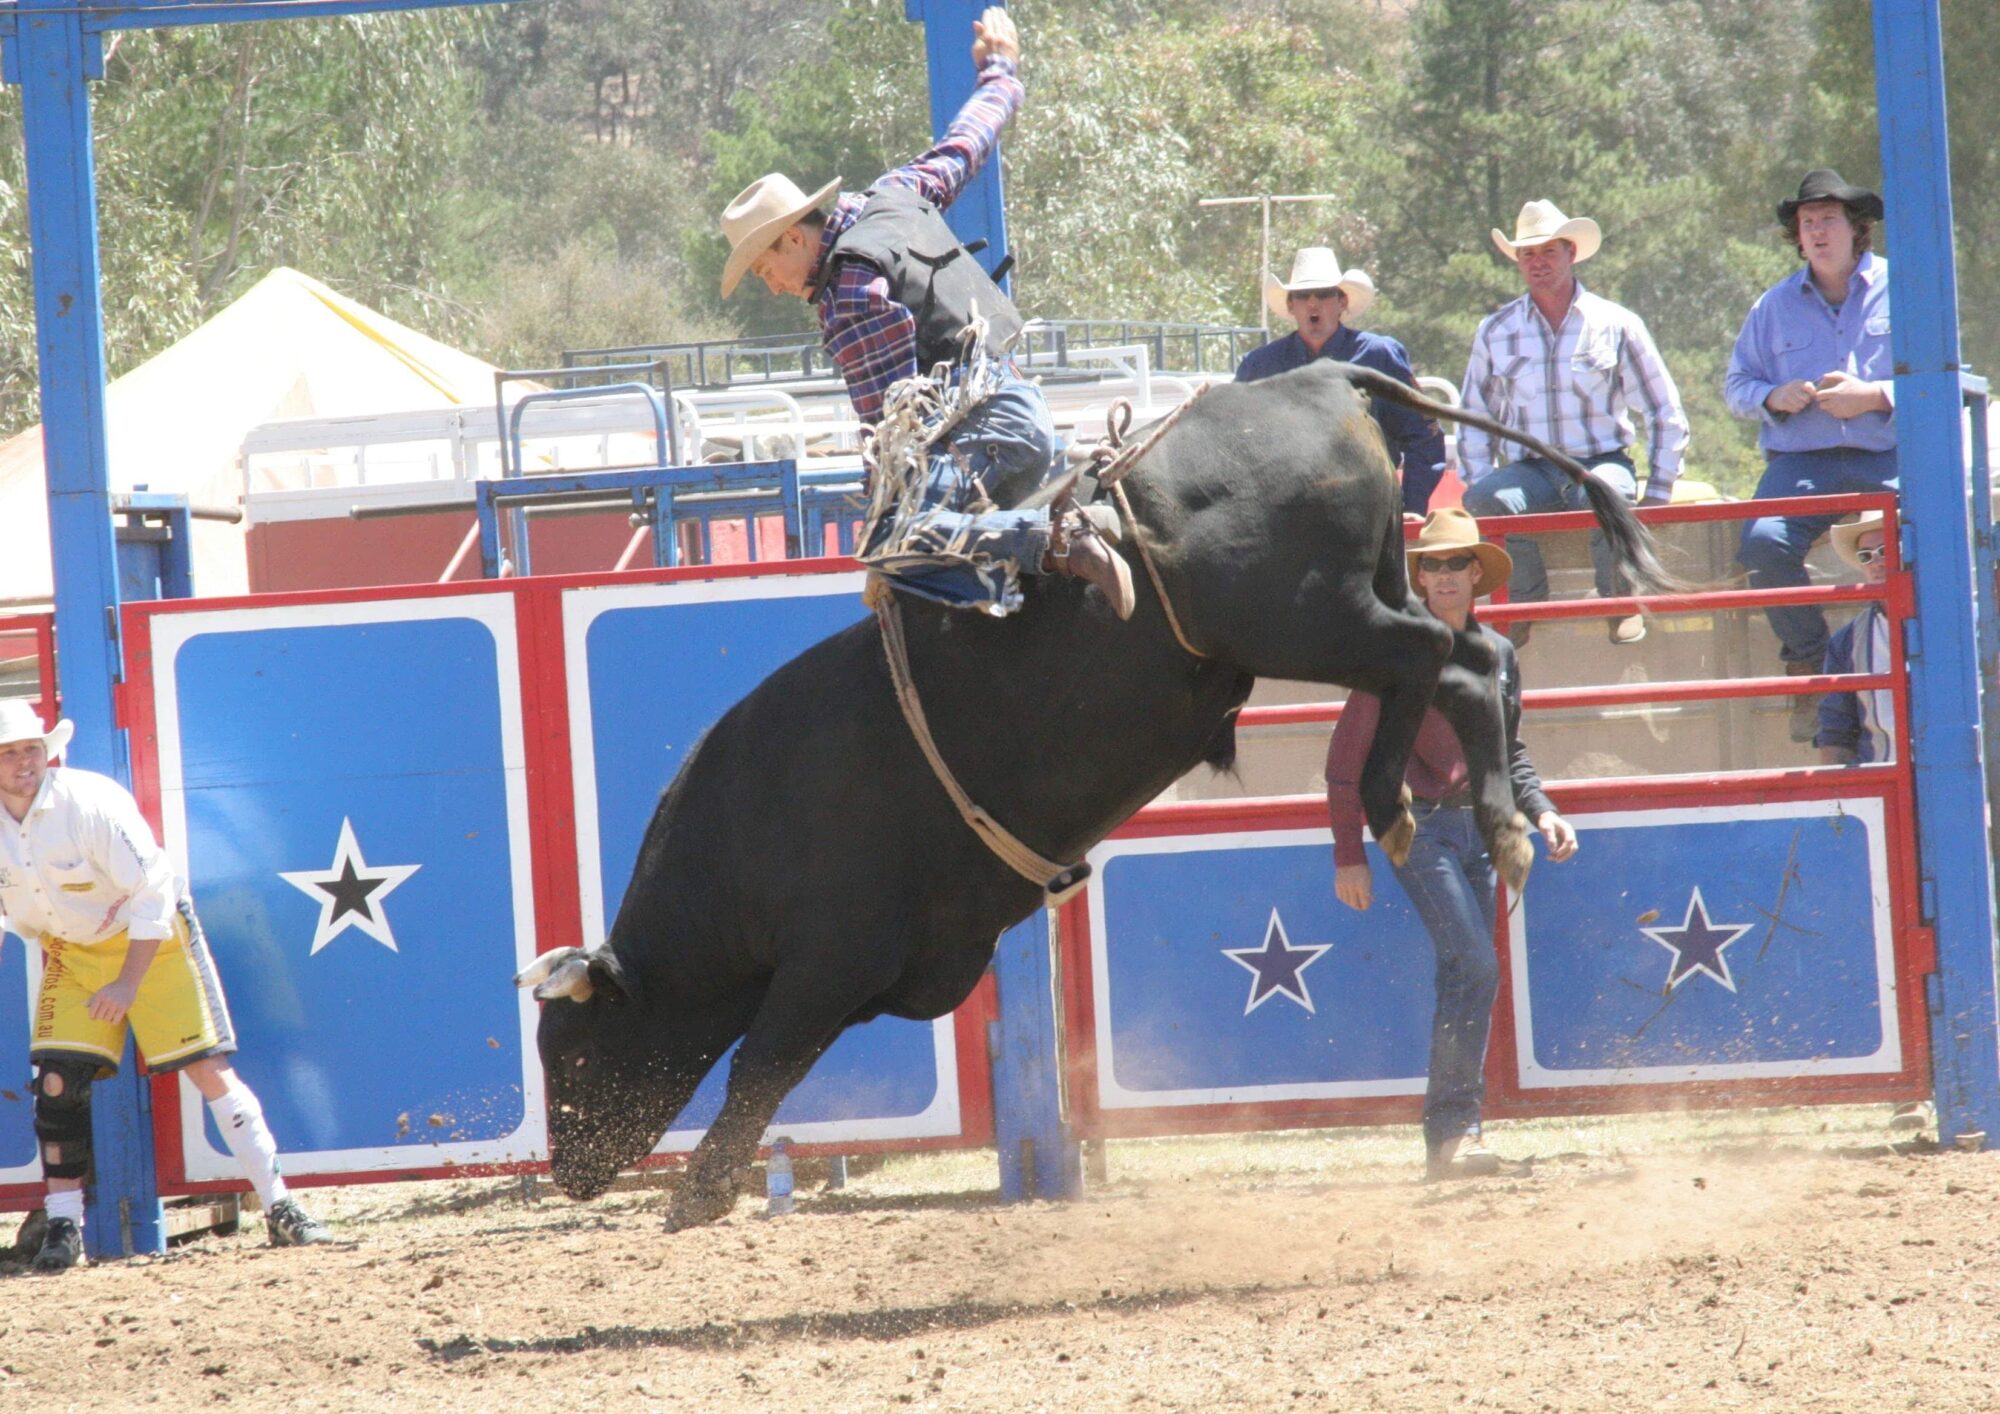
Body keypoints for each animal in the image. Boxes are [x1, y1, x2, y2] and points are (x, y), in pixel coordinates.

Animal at [512, 366, 1672, 1224]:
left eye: (572, 1051)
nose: (570, 1170)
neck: (750, 831)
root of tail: (1313, 377)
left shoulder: (824, 962)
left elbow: (762, 1060)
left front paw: (699, 1193)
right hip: (1357, 600)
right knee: (1463, 667)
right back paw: (1462, 821)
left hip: (1308, 619)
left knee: (1430, 659)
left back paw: (1425, 811)